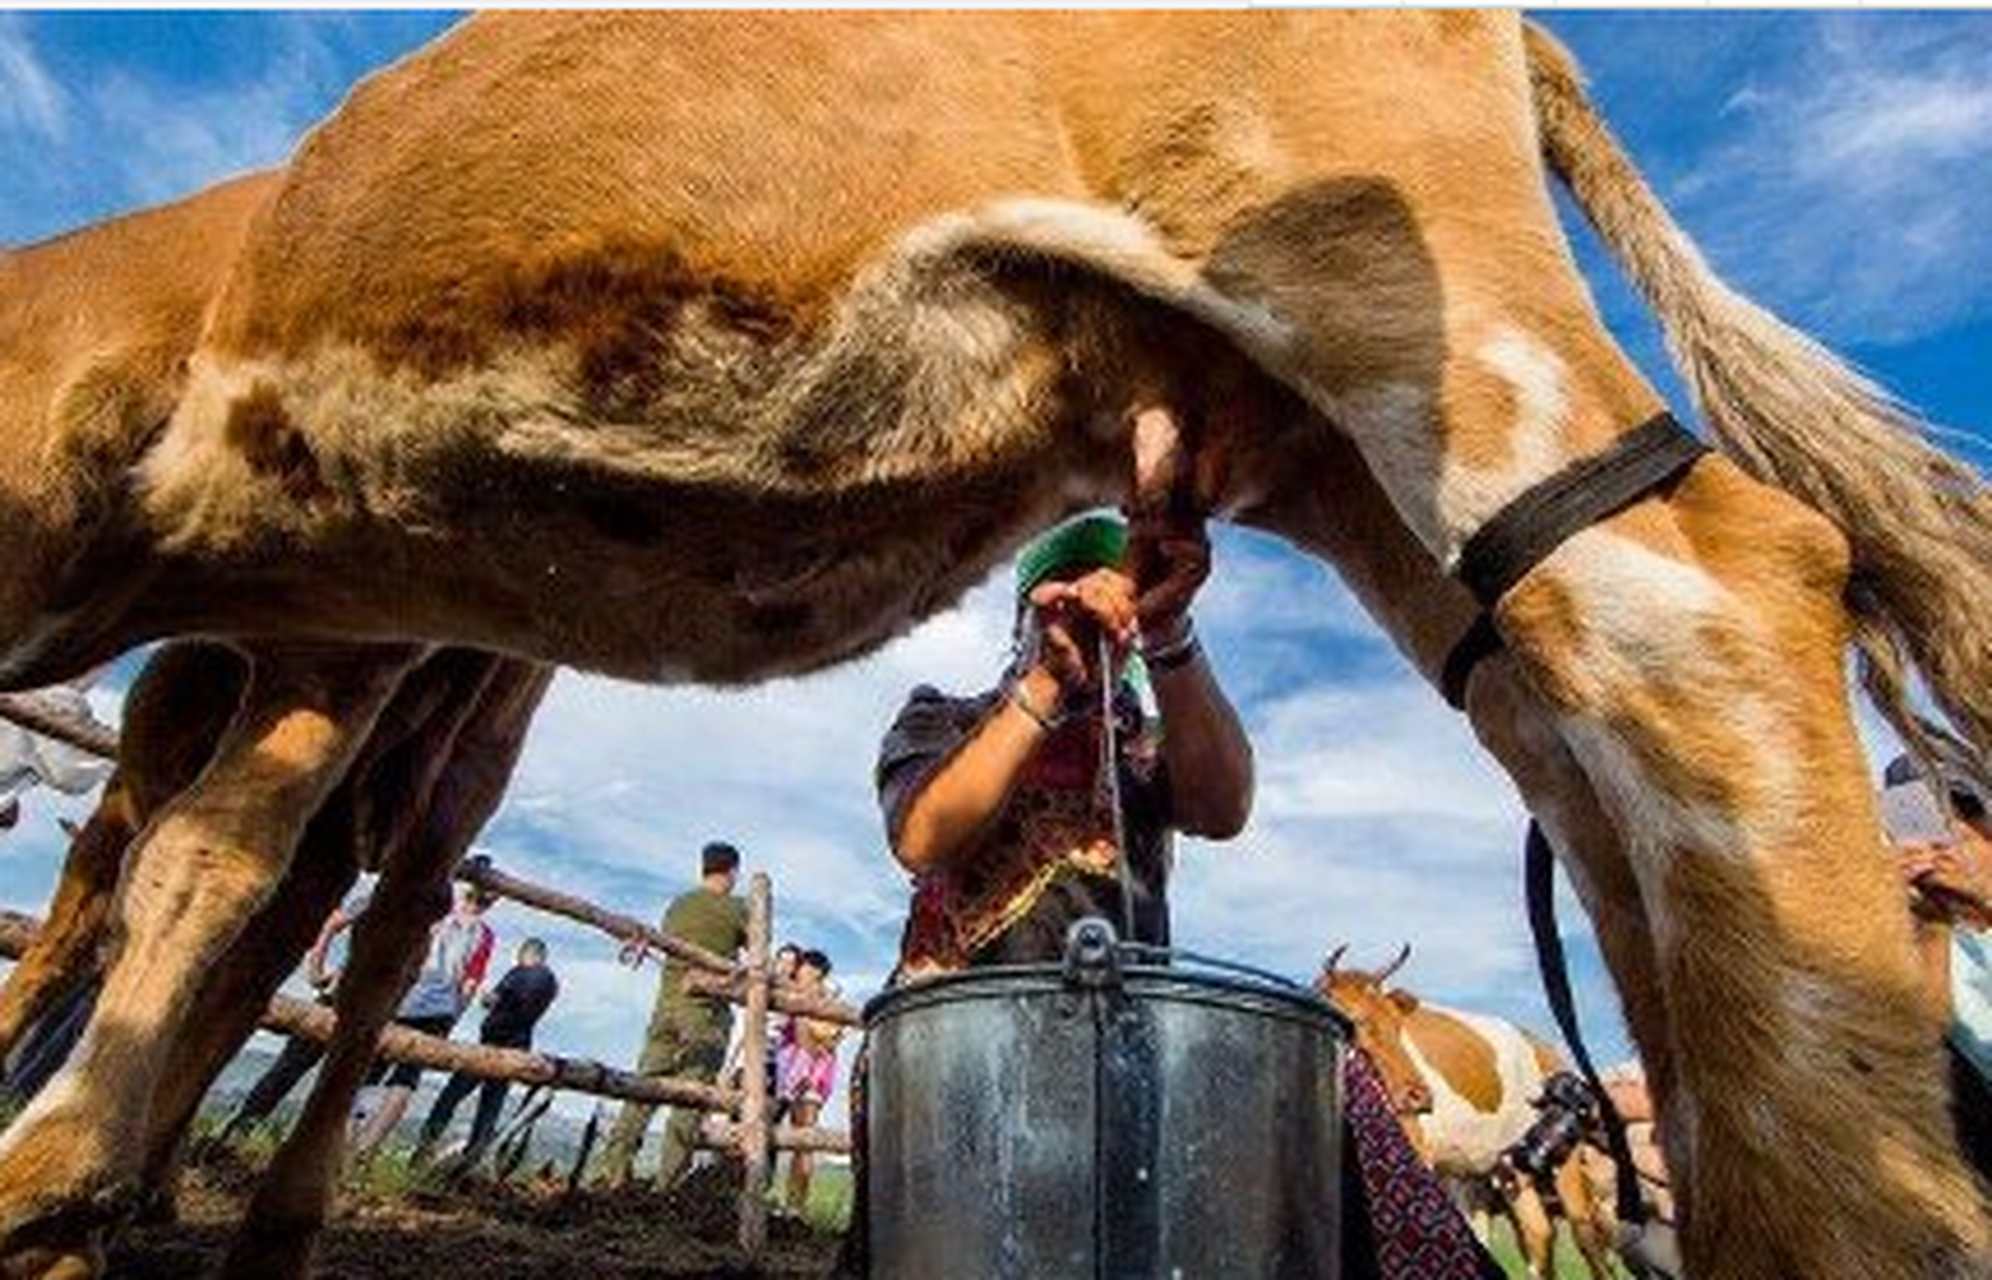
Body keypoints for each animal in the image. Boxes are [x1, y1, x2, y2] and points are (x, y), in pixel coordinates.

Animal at [3, 12, 1992, 1280]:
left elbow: (191, 872)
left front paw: (54, 1177)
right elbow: (215, 880)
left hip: (1371, 268)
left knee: (1702, 593)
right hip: (1328, 445)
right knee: (1581, 755)